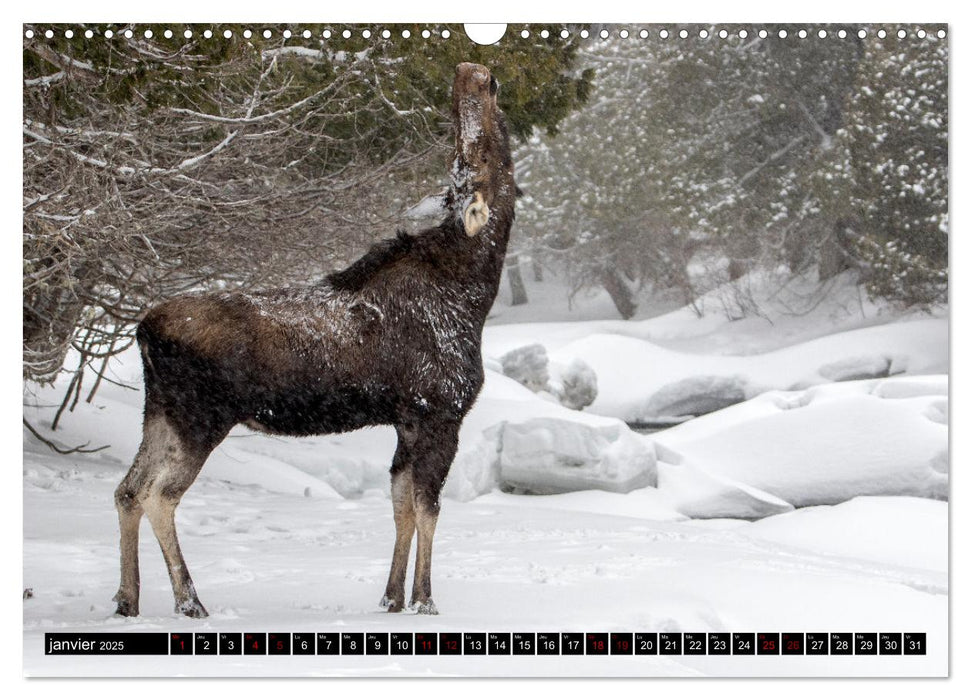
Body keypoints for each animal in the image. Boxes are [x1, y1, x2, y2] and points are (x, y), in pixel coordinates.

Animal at [112, 61, 516, 616]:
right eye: (471, 156)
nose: (472, 72)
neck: (475, 292)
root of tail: (143, 329)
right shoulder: (440, 411)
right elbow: (428, 508)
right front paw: (426, 602)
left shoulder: (408, 421)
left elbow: (402, 507)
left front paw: (391, 598)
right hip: (200, 417)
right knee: (159, 495)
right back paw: (189, 602)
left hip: (159, 414)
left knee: (127, 490)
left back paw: (127, 601)